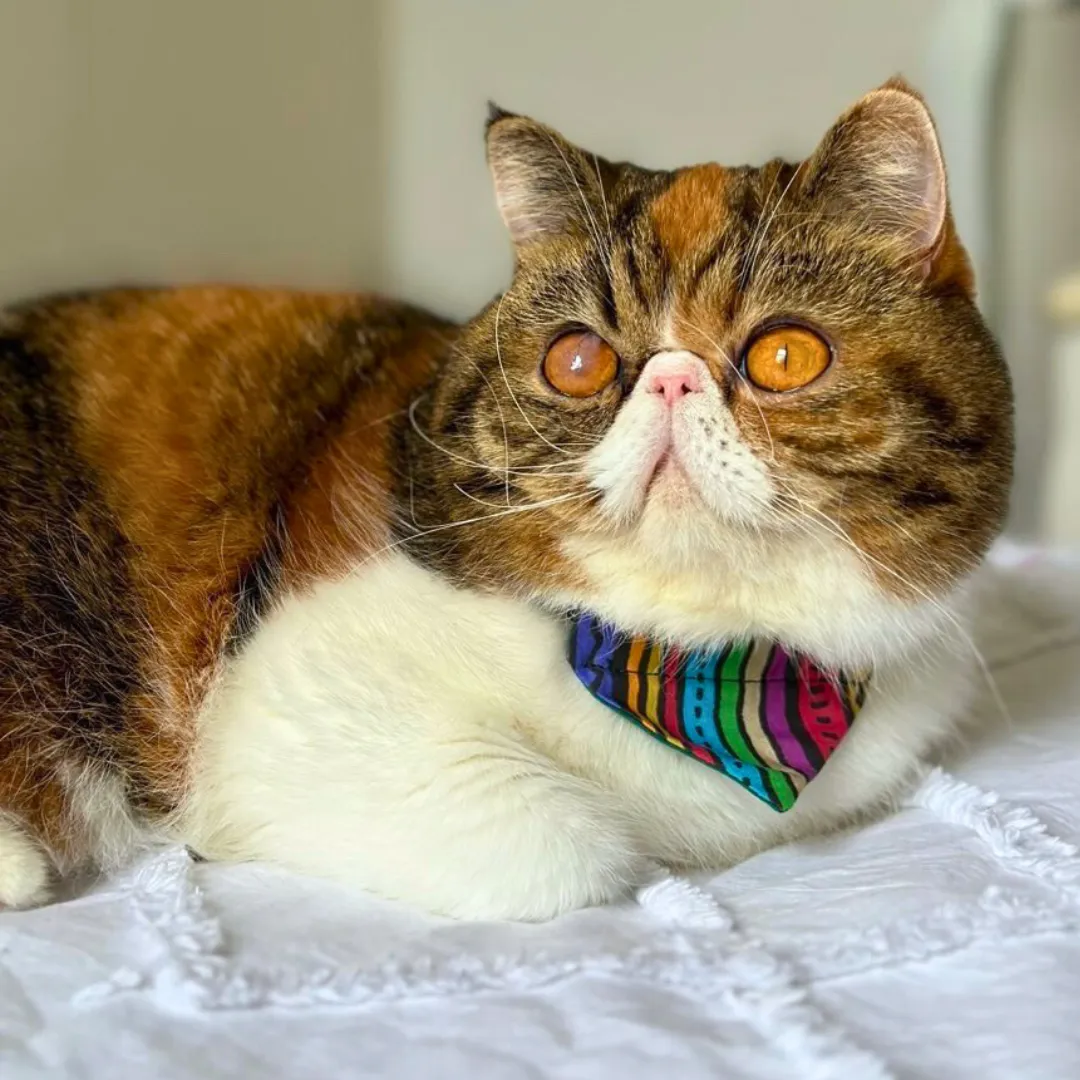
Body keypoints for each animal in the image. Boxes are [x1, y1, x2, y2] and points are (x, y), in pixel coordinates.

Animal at [0, 78, 1010, 920]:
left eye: (786, 356)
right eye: (579, 360)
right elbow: (575, 853)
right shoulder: (286, 701)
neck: (706, 668)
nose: (672, 380)